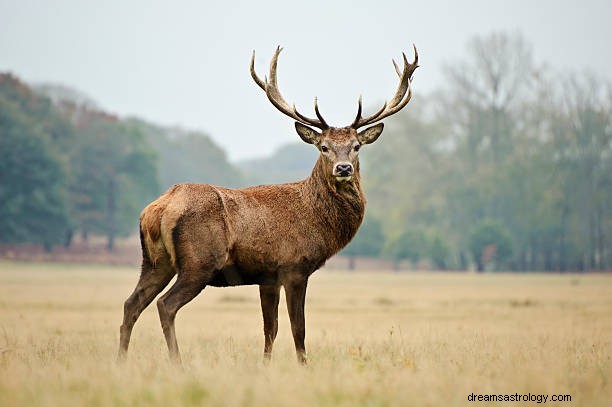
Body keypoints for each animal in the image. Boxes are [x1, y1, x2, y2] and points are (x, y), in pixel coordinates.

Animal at [117, 45, 418, 366]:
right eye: (323, 147)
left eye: (356, 146)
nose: (344, 168)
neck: (316, 220)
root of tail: (158, 208)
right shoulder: (294, 267)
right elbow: (298, 328)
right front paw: (303, 366)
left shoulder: (268, 276)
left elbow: (270, 329)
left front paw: (265, 365)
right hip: (199, 262)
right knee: (166, 305)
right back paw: (177, 363)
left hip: (155, 261)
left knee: (131, 303)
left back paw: (121, 360)